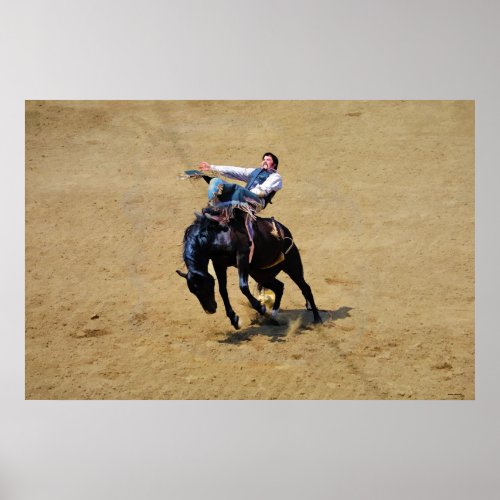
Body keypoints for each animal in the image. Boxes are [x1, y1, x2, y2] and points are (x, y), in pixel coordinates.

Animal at [178, 211, 322, 328]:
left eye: (204, 286)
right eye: (193, 291)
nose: (210, 310)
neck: (217, 236)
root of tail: (284, 230)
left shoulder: (242, 257)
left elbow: (243, 287)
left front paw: (261, 308)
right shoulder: (219, 264)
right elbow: (223, 290)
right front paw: (234, 319)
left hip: (292, 265)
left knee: (305, 288)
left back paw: (317, 319)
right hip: (260, 274)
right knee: (279, 287)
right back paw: (273, 316)